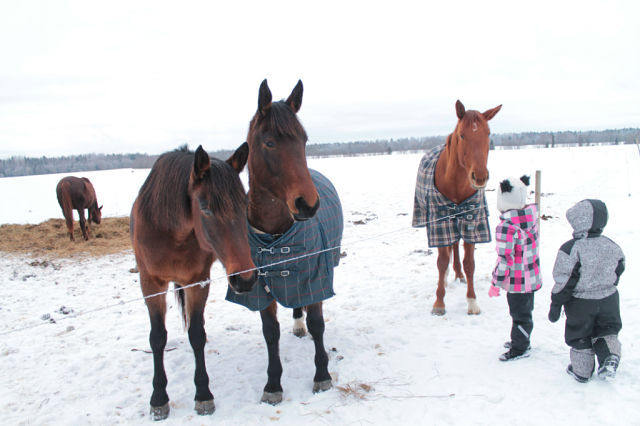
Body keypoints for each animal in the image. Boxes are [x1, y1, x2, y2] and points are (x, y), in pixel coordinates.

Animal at [130, 144, 258, 420]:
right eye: (206, 209)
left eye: (244, 205)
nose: (245, 279)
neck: (171, 231)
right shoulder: (151, 284)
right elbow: (157, 338)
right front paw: (158, 398)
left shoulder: (198, 282)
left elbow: (197, 334)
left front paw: (203, 394)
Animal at [226, 80, 344, 406]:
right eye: (269, 143)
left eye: (304, 140)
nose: (307, 204)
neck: (275, 235)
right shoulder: (259, 286)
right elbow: (270, 333)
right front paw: (273, 384)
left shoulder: (316, 276)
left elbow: (318, 323)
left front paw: (322, 376)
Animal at [412, 99, 502, 312]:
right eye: (462, 134)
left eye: (488, 133)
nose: (480, 177)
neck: (456, 185)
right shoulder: (440, 223)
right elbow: (442, 261)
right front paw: (439, 302)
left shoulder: (472, 222)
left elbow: (469, 263)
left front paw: (472, 301)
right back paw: (445, 279)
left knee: (455, 247)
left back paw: (458, 275)